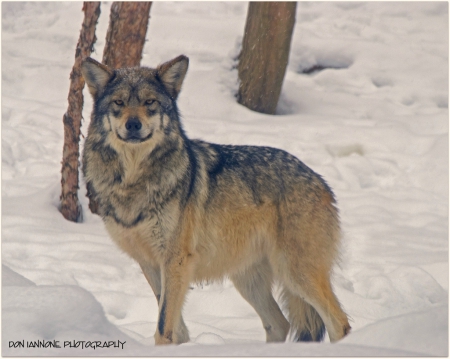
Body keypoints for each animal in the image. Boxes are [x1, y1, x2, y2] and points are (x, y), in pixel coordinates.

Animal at [81, 55, 352, 346]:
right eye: (119, 103)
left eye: (149, 102)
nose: (133, 124)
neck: (133, 181)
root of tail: (320, 181)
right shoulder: (151, 264)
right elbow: (175, 326)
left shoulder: (175, 261)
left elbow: (164, 325)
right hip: (249, 280)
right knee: (279, 323)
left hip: (295, 273)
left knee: (339, 323)